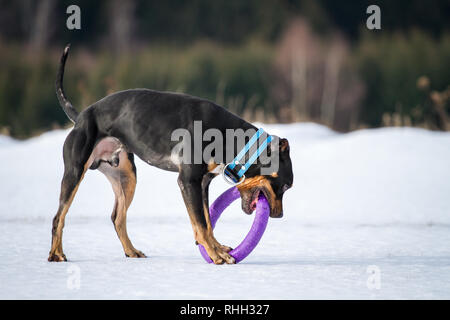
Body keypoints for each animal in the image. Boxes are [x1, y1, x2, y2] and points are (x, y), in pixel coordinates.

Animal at [49, 45, 294, 264]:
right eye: (284, 186)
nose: (278, 215)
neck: (229, 137)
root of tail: (81, 116)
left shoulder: (202, 183)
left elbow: (207, 221)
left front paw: (216, 248)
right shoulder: (188, 181)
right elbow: (201, 224)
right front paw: (216, 255)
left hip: (126, 177)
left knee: (117, 217)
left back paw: (131, 251)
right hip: (75, 173)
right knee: (58, 217)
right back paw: (56, 254)